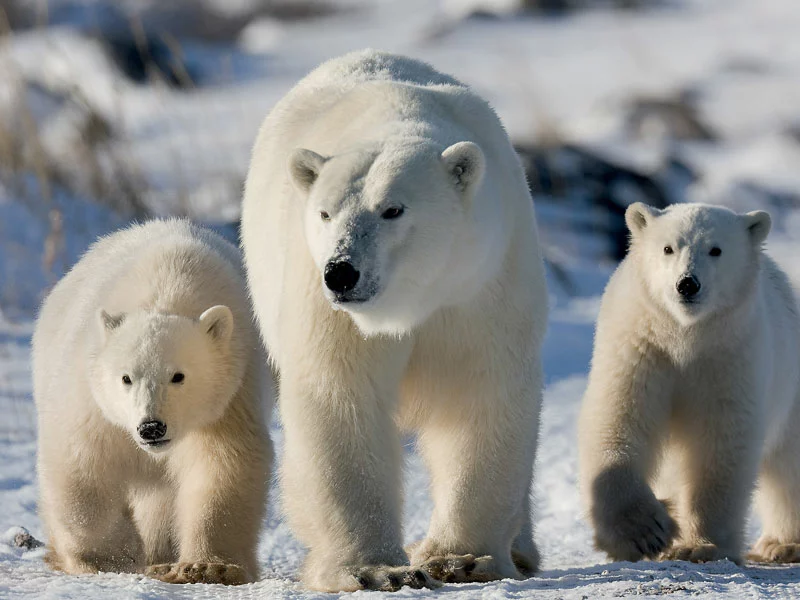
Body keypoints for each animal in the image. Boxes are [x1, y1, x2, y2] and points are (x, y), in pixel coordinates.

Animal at [32, 218, 272, 584]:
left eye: (179, 376)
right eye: (126, 377)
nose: (151, 428)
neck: (169, 286)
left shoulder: (230, 395)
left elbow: (223, 464)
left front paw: (208, 566)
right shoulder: (93, 399)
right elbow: (82, 460)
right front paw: (111, 555)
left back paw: (162, 558)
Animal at [241, 50, 548, 592]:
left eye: (392, 209)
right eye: (324, 212)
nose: (341, 272)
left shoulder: (481, 288)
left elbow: (481, 393)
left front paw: (461, 559)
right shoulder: (328, 310)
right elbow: (342, 396)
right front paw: (376, 569)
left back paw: (521, 550)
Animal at [580, 204, 800, 564]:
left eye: (716, 249)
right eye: (668, 248)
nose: (687, 284)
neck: (684, 335)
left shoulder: (727, 356)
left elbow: (719, 443)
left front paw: (700, 545)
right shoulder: (641, 348)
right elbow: (620, 419)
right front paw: (646, 533)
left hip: (790, 388)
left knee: (788, 464)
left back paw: (782, 544)